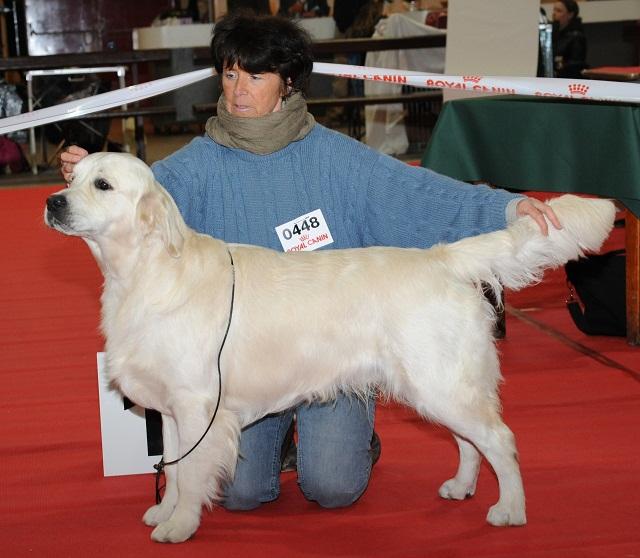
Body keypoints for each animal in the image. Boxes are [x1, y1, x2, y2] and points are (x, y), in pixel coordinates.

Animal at [45, 152, 616, 544]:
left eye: (102, 184)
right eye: (71, 178)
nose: (52, 201)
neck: (146, 272)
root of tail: (441, 258)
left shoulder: (196, 404)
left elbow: (189, 473)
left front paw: (179, 525)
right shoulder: (167, 408)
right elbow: (172, 463)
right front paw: (164, 513)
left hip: (440, 383)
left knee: (500, 439)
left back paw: (511, 510)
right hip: (437, 385)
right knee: (469, 442)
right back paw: (461, 486)